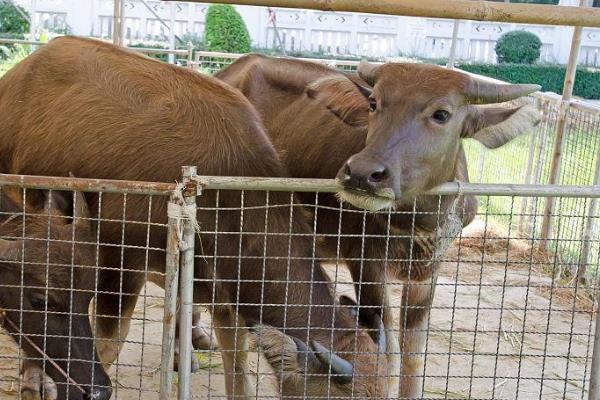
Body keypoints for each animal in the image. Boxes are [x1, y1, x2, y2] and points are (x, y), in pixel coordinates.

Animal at [218, 54, 540, 398]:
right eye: (374, 103)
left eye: (442, 114)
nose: (362, 173)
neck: (414, 227)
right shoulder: (366, 263)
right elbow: (391, 351)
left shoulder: (428, 272)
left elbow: (413, 354)